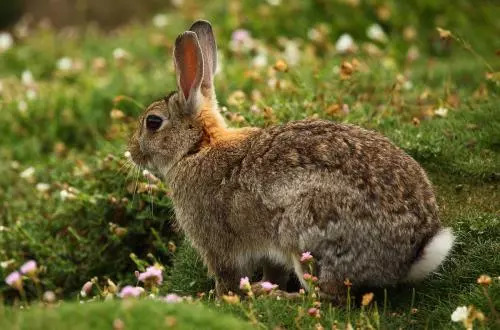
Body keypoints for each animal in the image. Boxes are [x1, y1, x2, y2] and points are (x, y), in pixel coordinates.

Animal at [128, 20, 454, 302]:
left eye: (153, 122)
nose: (131, 151)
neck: (196, 149)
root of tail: (409, 256)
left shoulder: (216, 244)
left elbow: (227, 278)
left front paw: (222, 299)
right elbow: (272, 269)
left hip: (308, 230)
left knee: (327, 298)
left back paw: (276, 296)